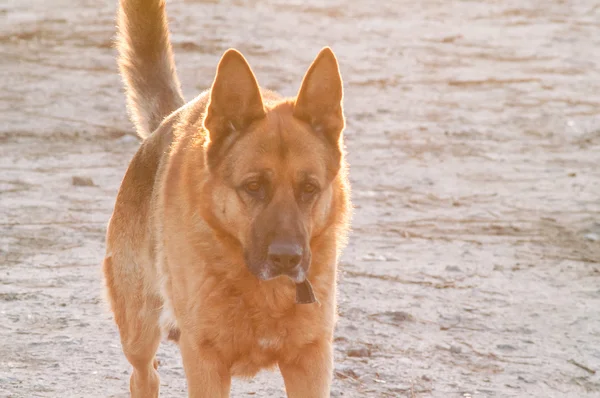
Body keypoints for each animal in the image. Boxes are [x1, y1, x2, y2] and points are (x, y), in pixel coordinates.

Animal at [103, 0, 352, 394]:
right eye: (253, 186)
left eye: (309, 189)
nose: (287, 258)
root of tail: (169, 120)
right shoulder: (205, 363)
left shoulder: (310, 363)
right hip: (138, 332)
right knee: (144, 374)